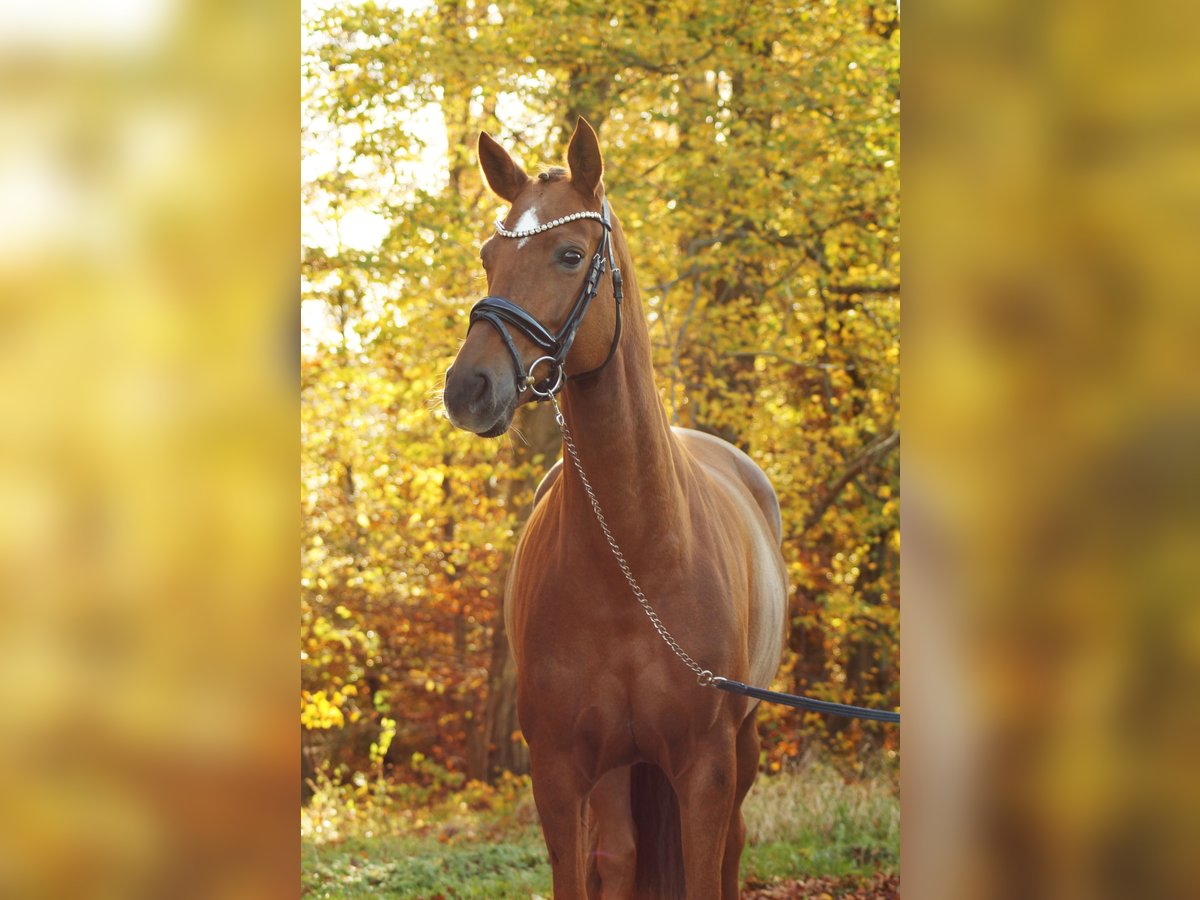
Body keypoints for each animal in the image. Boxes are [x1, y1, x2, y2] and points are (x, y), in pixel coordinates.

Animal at [444, 118, 787, 897]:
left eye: (571, 255)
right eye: (487, 257)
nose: (467, 389)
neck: (635, 557)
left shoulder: (706, 771)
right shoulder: (560, 772)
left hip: (743, 744)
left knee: (733, 847)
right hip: (616, 770)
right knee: (622, 857)